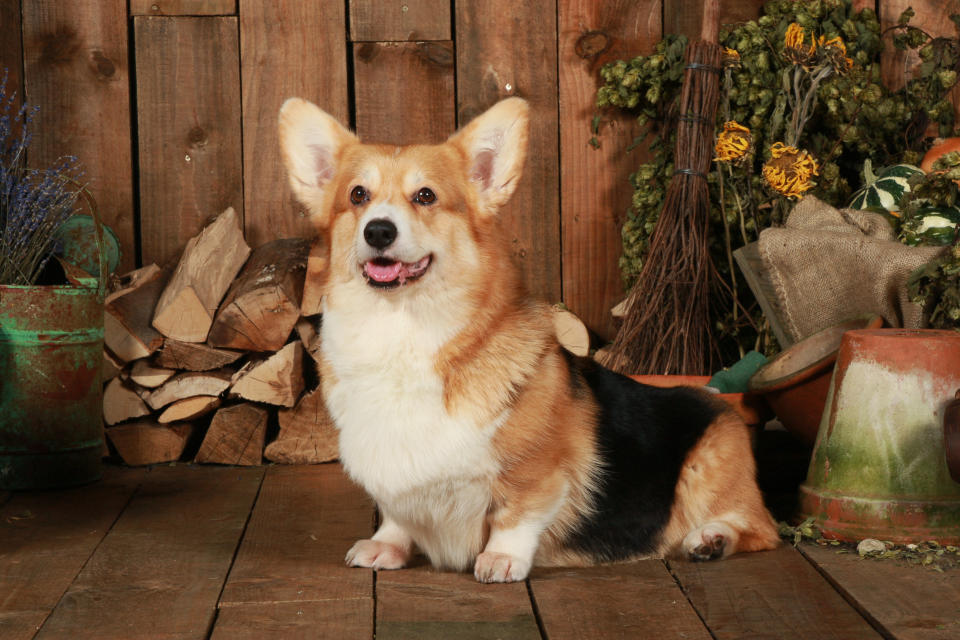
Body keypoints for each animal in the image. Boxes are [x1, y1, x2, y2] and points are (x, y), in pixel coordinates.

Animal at [278, 96, 780, 584]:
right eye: (357, 195)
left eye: (425, 196)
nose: (378, 230)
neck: (402, 329)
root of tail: (718, 402)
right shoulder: (394, 477)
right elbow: (398, 515)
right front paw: (387, 545)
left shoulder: (537, 474)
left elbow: (516, 515)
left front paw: (501, 559)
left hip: (709, 462)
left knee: (761, 529)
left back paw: (711, 540)